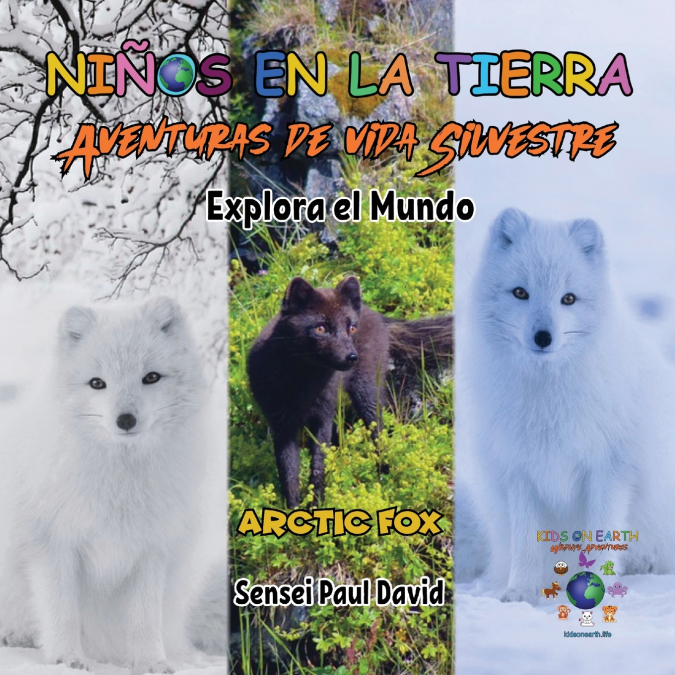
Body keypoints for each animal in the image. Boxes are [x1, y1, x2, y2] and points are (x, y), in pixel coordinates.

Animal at [0, 297, 210, 673]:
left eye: (151, 377)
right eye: (97, 383)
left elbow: (144, 618)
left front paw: (150, 662)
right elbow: (62, 610)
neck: (120, 481)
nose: (125, 419)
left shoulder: (151, 551)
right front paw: (67, 658)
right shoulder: (52, 545)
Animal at [247, 276, 453, 507]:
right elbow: (287, 471)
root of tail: (374, 313)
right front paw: (293, 509)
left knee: (379, 432)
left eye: (351, 328)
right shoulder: (281, 424)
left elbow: (319, 463)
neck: (302, 384)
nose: (352, 357)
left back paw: (384, 475)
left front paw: (317, 504)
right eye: (320, 328)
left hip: (367, 391)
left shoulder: (323, 416)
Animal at [456, 208, 675, 603]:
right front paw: (520, 593)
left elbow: (602, 536)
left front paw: (598, 586)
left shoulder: (609, 470)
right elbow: (527, 543)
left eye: (569, 299)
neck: (547, 398)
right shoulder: (519, 472)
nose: (544, 337)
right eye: (520, 292)